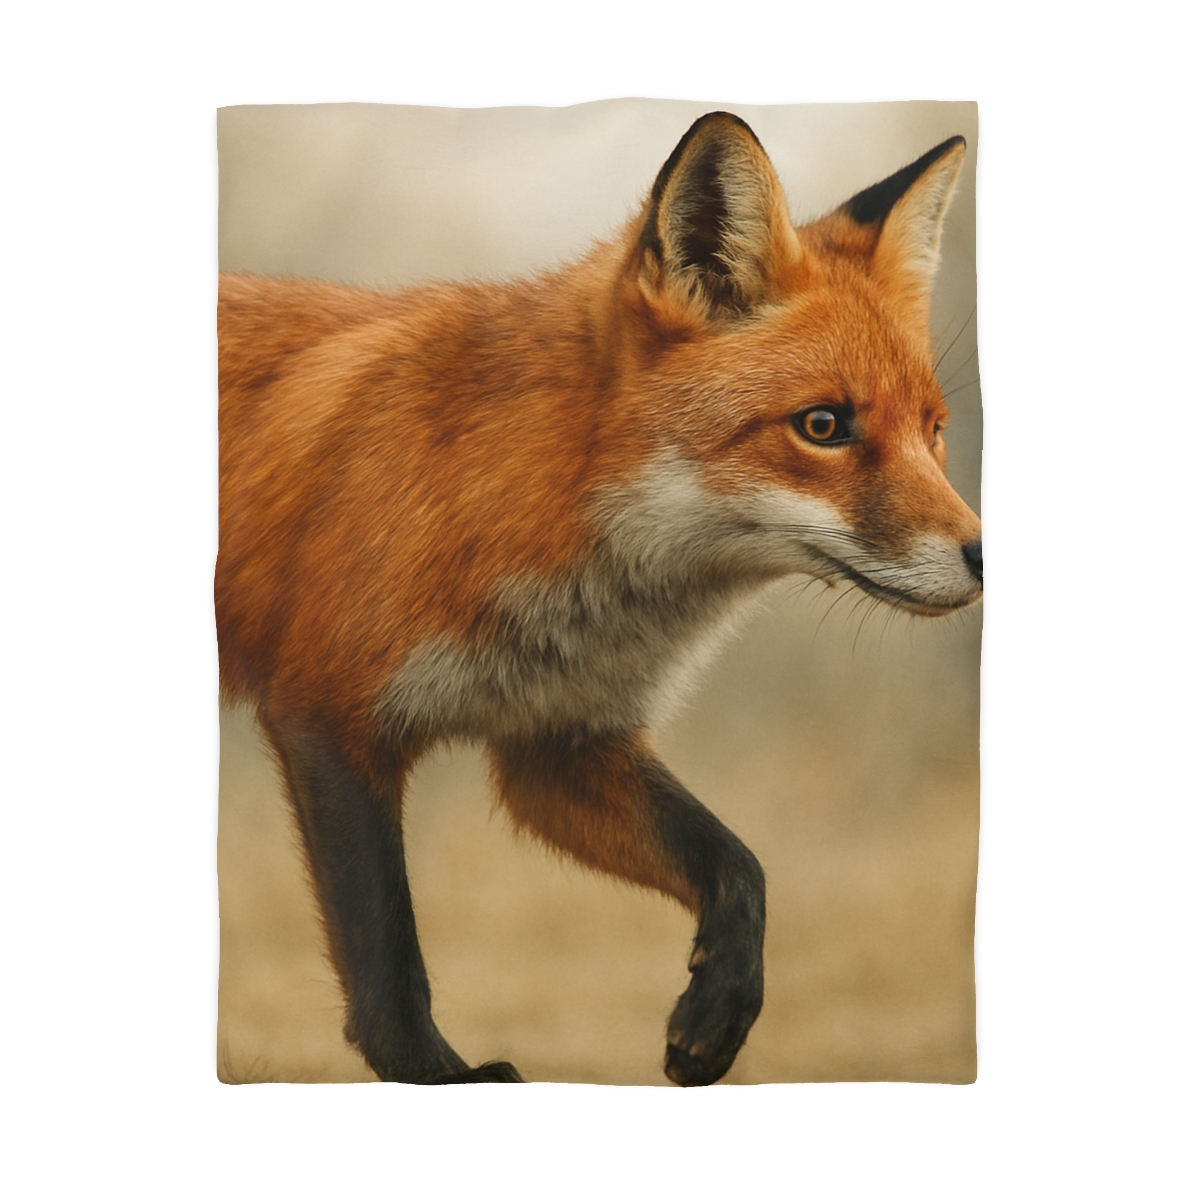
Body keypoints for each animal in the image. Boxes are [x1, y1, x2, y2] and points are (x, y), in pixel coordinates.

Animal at [217, 111, 983, 1087]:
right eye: (823, 426)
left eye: (934, 431)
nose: (984, 556)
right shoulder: (327, 715)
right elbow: (388, 954)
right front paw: (441, 1077)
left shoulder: (559, 743)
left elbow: (739, 865)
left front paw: (719, 1010)